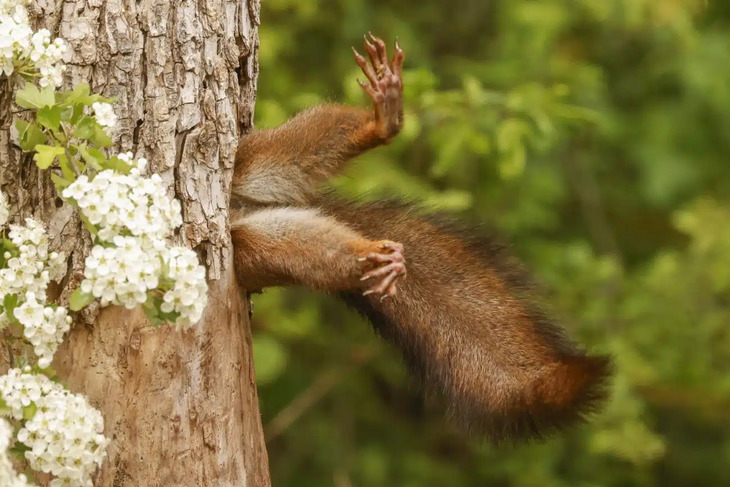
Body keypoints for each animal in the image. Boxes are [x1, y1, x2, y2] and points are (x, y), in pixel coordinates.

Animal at [229, 34, 608, 444]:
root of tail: (240, 208)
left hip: (249, 160)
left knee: (297, 149)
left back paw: (382, 121)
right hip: (252, 246)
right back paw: (372, 257)